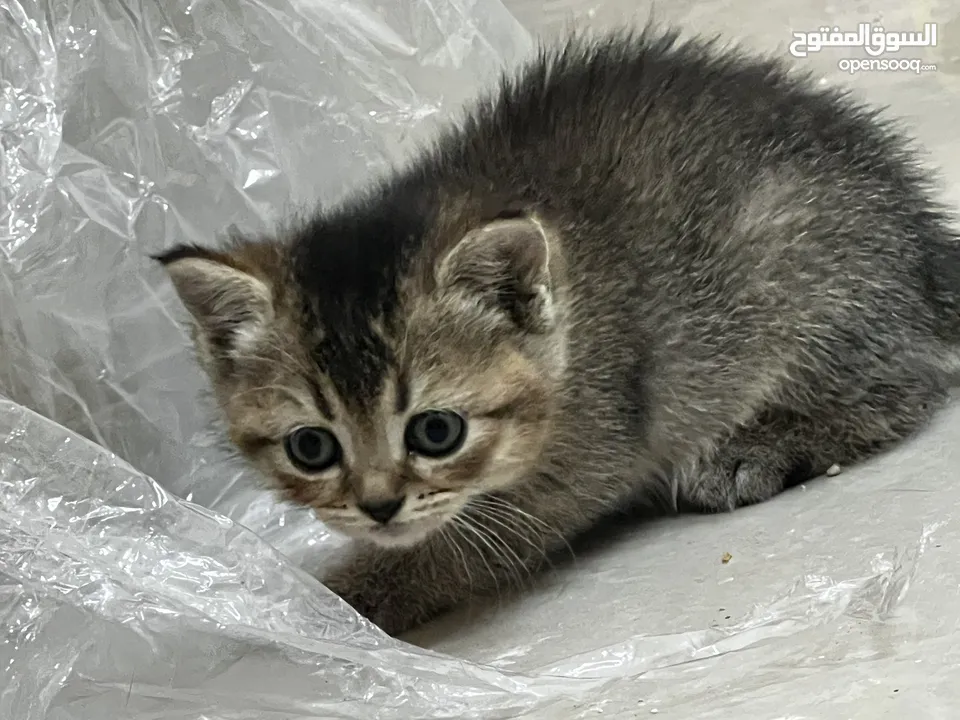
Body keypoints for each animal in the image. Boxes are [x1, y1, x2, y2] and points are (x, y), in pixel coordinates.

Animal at [158, 29, 960, 636]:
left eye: (436, 432)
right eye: (311, 447)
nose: (378, 506)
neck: (568, 329)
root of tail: (922, 240)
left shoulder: (588, 448)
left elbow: (462, 549)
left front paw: (350, 597)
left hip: (799, 278)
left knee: (908, 382)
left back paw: (760, 446)